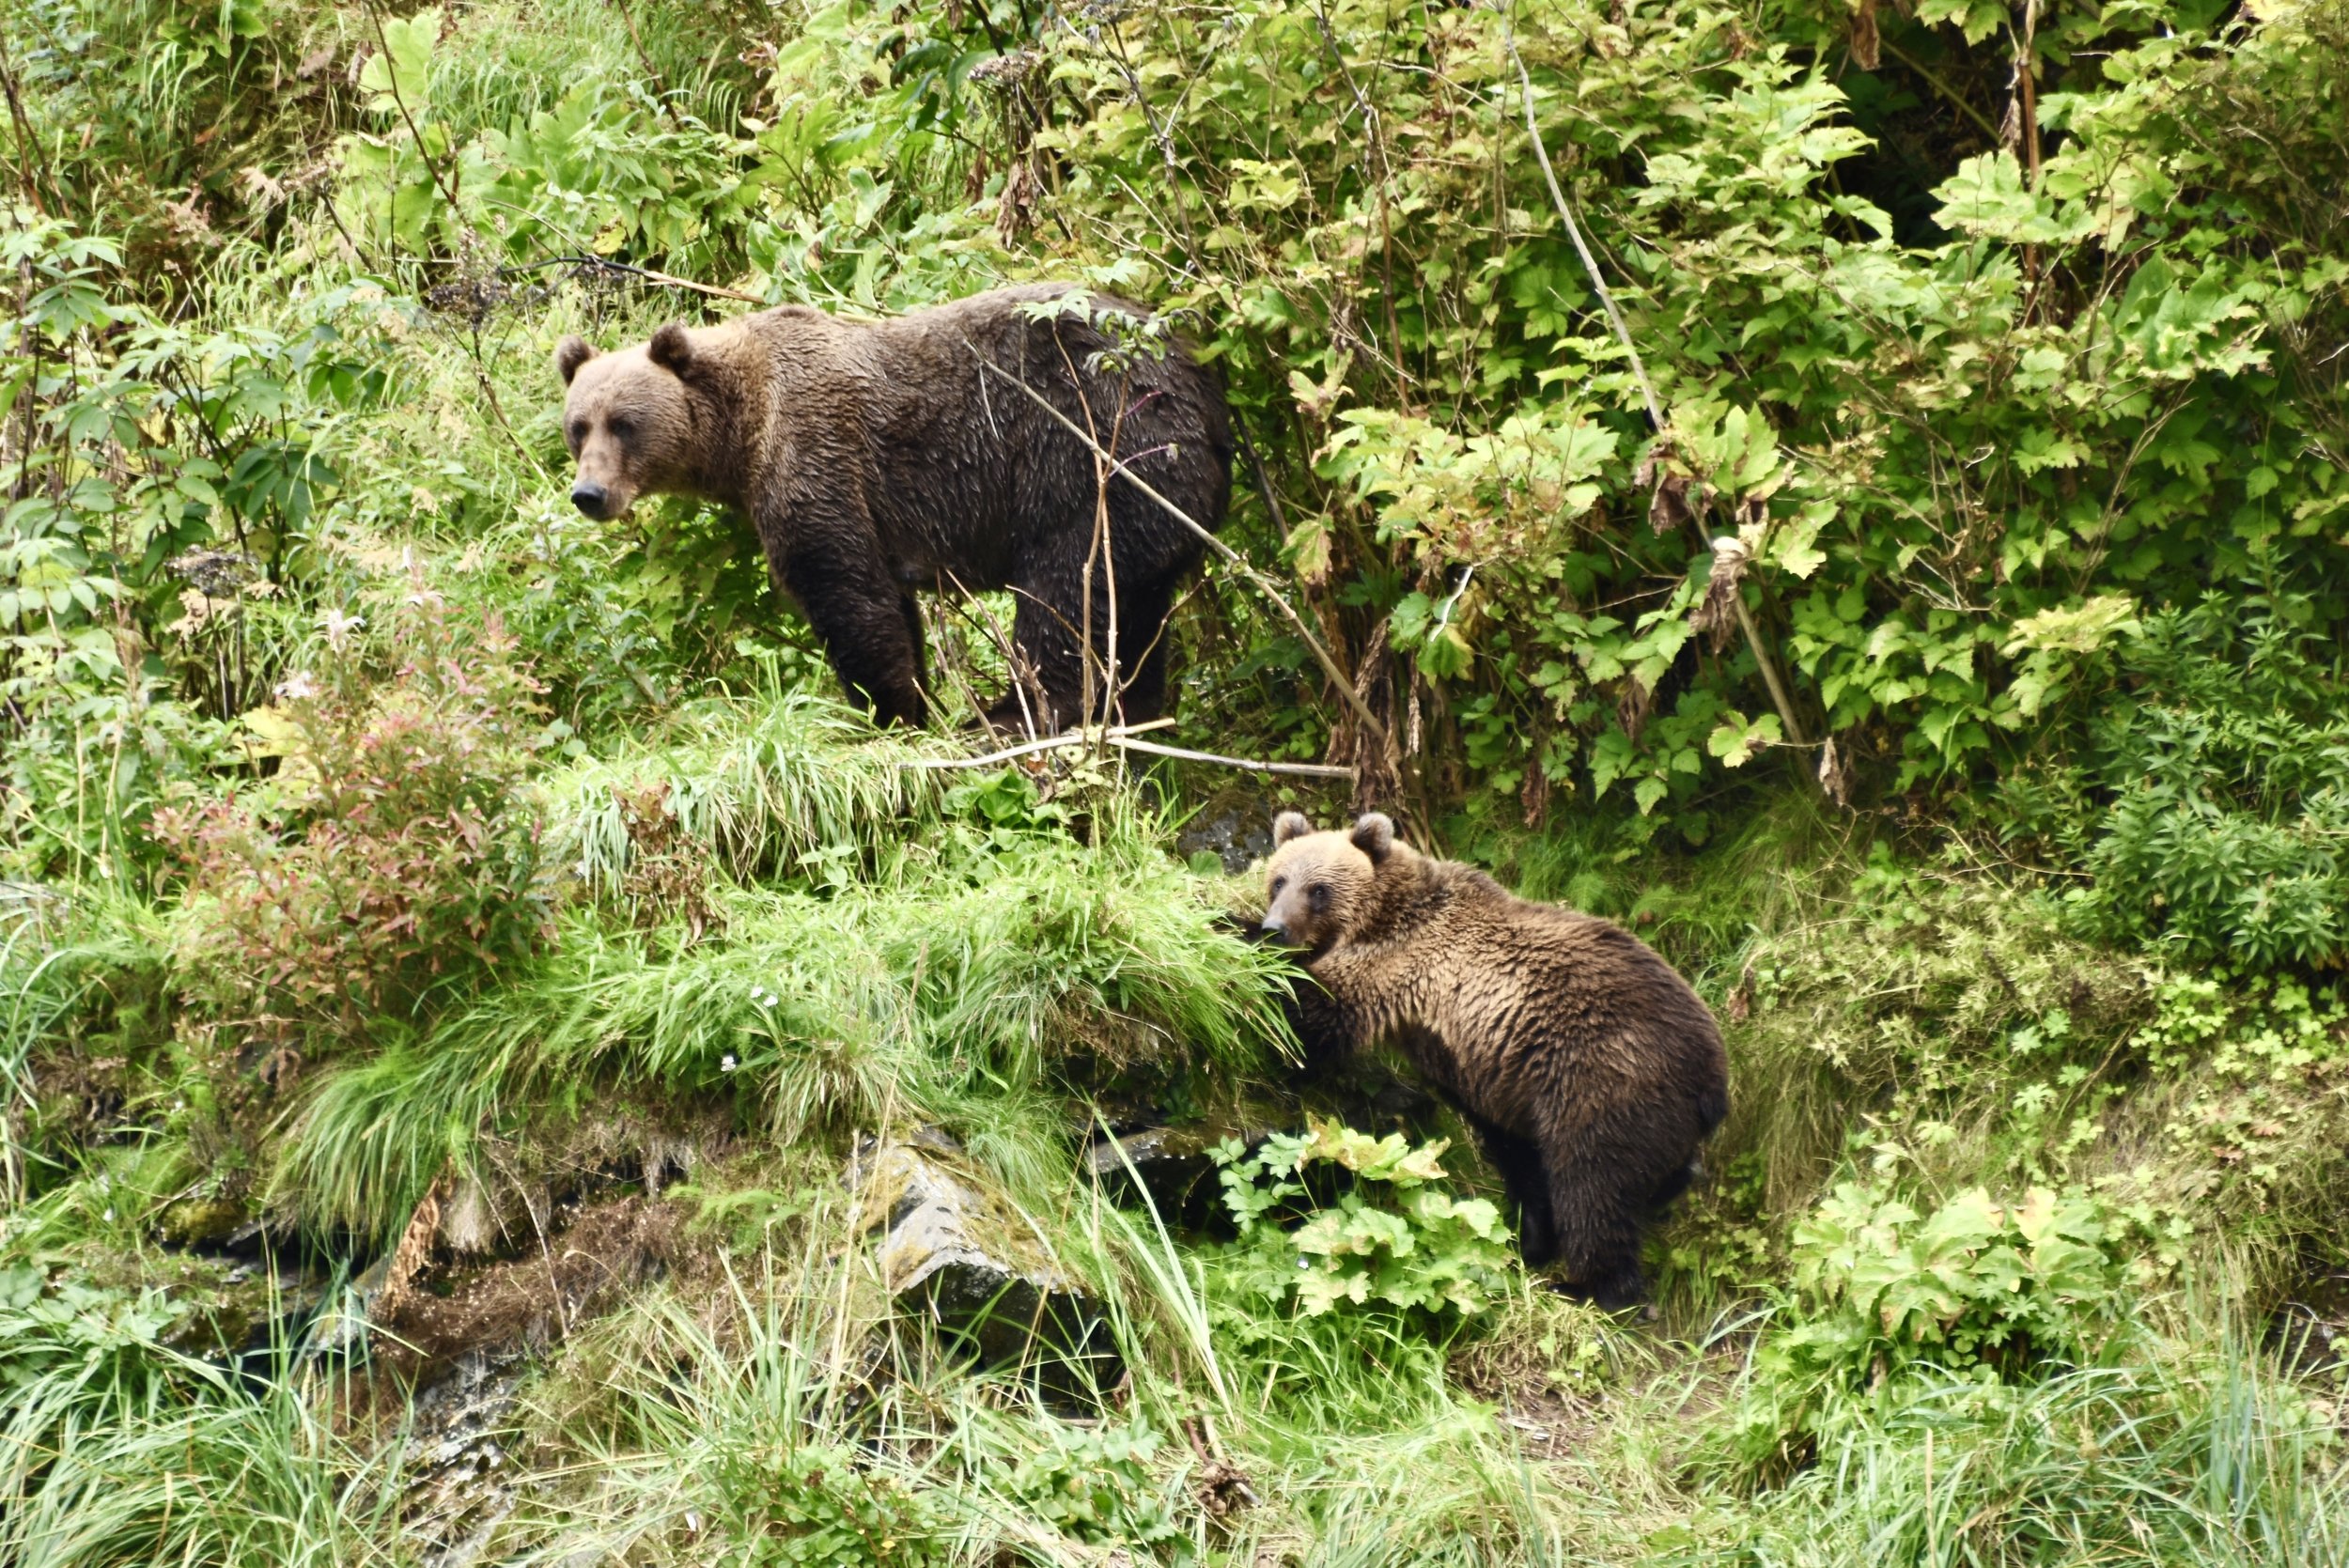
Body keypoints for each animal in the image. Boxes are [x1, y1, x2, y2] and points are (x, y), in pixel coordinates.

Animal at [554, 284, 1232, 732]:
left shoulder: (816, 454)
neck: (743, 432)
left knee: (1067, 594)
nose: (589, 494)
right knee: (1136, 615)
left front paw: (890, 712)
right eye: (577, 427)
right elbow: (889, 605)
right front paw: (913, 700)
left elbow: (846, 592)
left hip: (1098, 455)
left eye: (625, 423)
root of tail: (1203, 384)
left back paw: (1011, 716)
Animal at [1258, 811, 1728, 1307]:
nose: (1275, 928)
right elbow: (1509, 1148)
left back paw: (1588, 1287)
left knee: (1593, 1187)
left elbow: (1315, 1012)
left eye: (1319, 890)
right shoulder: (1477, 1071)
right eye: (1279, 880)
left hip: (1605, 1082)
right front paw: (1532, 1237)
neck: (1385, 912)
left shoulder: (1393, 963)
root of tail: (1713, 1078)